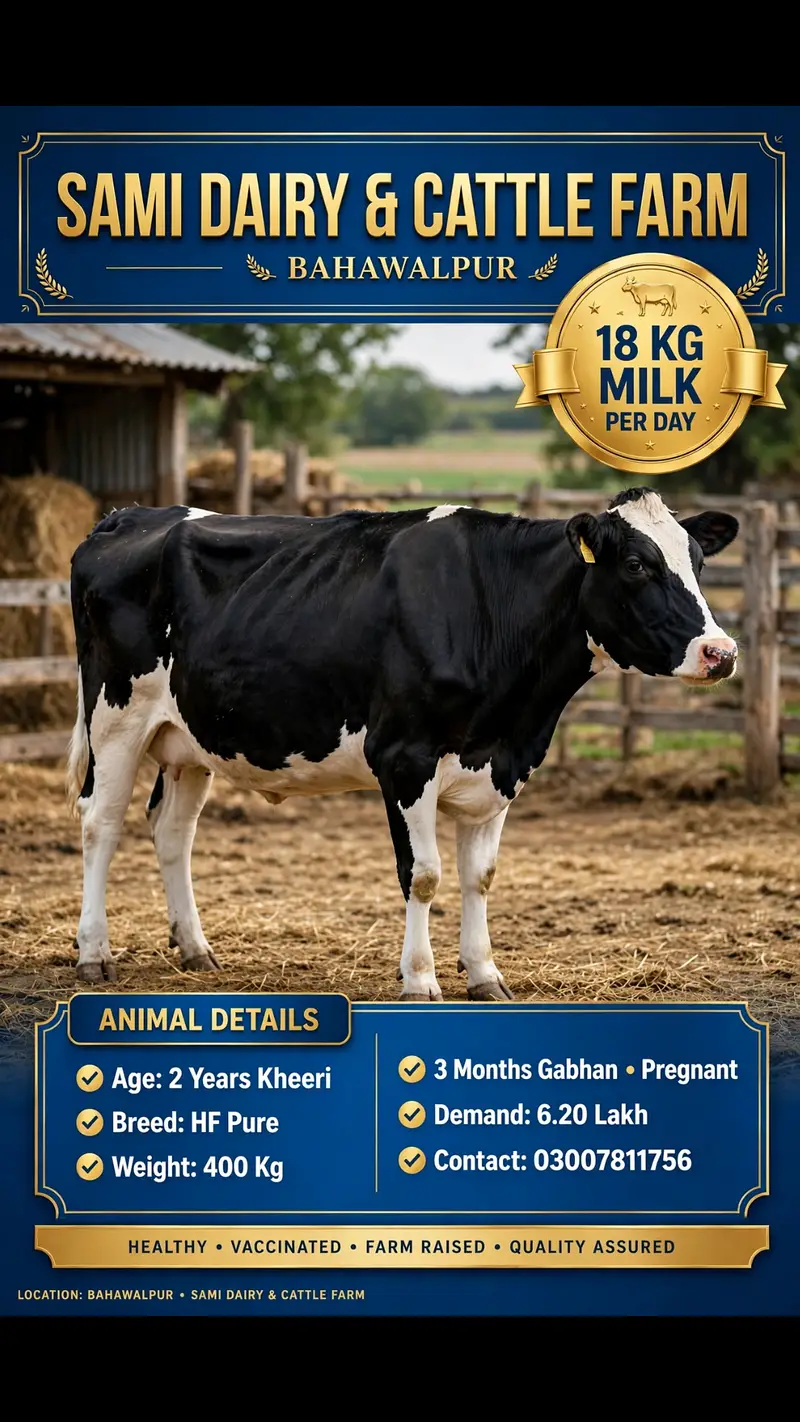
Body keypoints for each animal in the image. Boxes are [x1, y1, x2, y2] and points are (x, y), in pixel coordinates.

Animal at [65, 487, 739, 999]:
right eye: (637, 565)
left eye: (699, 564)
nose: (721, 652)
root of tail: (128, 516)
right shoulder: (404, 759)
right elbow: (425, 874)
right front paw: (420, 979)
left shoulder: (501, 765)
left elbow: (480, 876)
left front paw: (485, 975)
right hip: (116, 717)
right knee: (100, 822)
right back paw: (94, 952)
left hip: (190, 737)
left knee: (172, 830)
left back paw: (195, 947)